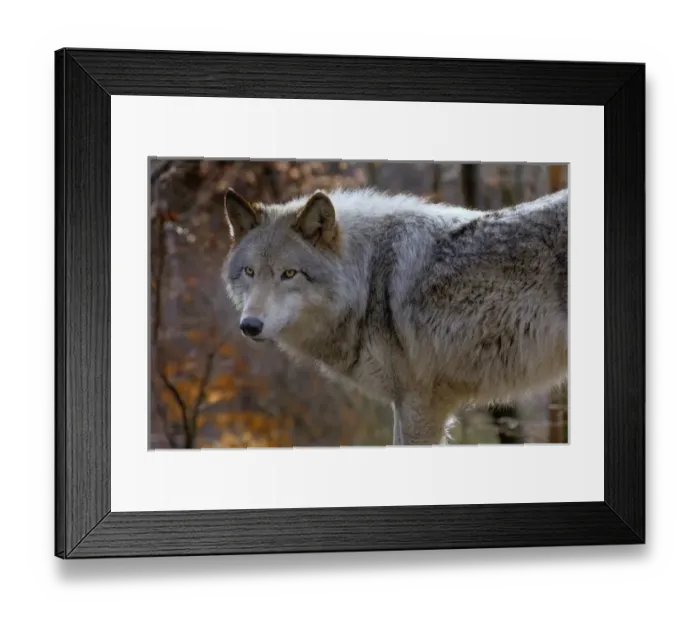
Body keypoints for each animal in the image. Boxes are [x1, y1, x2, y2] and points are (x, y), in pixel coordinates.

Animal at [221, 185, 568, 446]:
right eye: (249, 272)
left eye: (289, 274)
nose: (249, 326)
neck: (369, 279)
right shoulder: (405, 404)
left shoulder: (420, 403)